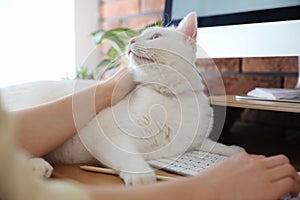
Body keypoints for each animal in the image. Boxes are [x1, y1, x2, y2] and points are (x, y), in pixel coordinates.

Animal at [1, 12, 244, 186]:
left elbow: (214, 146)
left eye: (155, 36)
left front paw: (236, 150)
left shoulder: (195, 142)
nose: (131, 40)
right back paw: (36, 166)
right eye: (140, 35)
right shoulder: (110, 136)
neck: (169, 96)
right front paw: (142, 175)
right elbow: (128, 156)